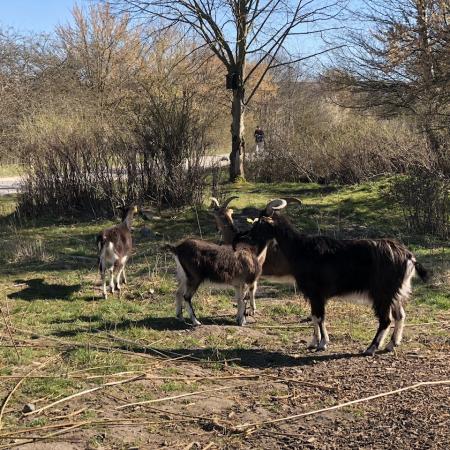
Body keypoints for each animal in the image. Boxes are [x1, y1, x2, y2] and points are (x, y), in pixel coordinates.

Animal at [241, 199, 429, 355]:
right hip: (396, 292)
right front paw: (313, 342)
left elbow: (319, 317)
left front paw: (323, 343)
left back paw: (371, 348)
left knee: (385, 319)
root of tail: (408, 256)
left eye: (260, 221)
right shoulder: (313, 295)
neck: (300, 248)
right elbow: (314, 316)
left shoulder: (317, 293)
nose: (247, 236)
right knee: (400, 315)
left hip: (382, 293)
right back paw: (392, 344)